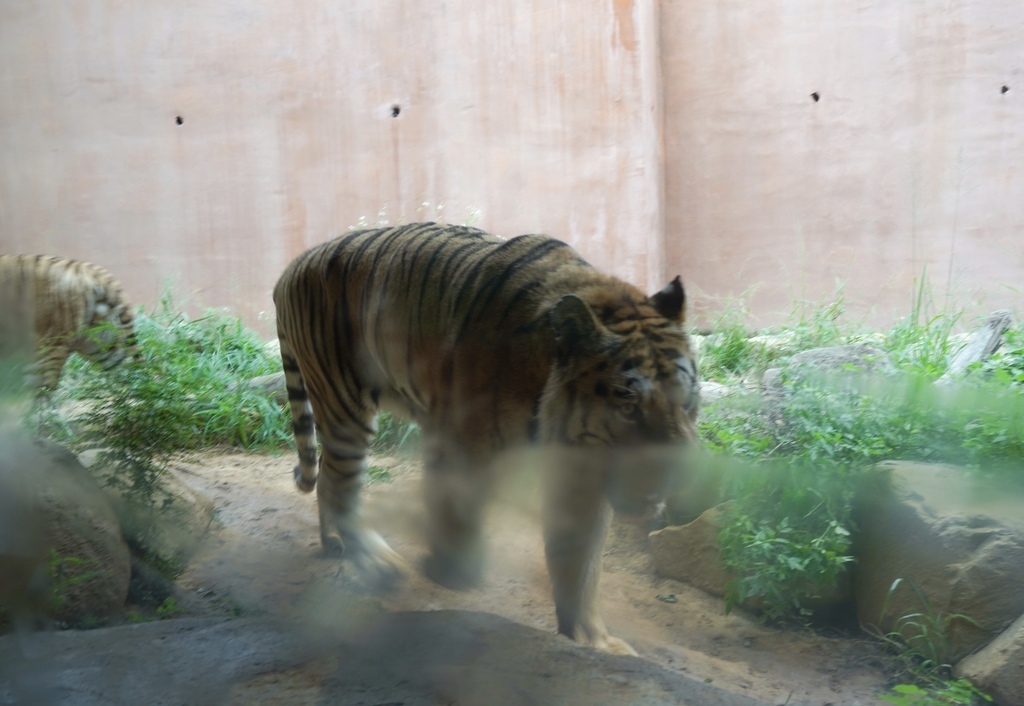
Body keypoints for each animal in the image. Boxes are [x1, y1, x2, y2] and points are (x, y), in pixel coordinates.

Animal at [276, 221, 700, 655]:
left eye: (688, 402)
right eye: (629, 406)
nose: (684, 475)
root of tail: (295, 263)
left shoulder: (581, 477)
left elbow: (580, 562)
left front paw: (592, 639)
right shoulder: (456, 442)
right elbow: (456, 512)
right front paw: (452, 571)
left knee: (327, 474)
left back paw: (335, 542)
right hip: (345, 402)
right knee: (339, 482)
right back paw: (378, 562)